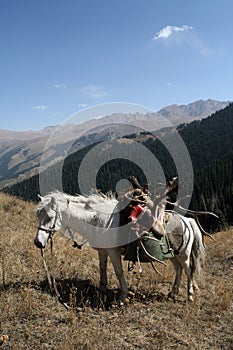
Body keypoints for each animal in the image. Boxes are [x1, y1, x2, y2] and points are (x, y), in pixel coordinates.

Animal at [33, 190, 205, 302]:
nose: (38, 242)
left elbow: (119, 272)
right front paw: (102, 288)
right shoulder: (103, 250)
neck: (98, 219)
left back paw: (189, 295)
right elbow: (102, 267)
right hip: (173, 254)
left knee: (188, 270)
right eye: (38, 215)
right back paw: (173, 293)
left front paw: (122, 296)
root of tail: (187, 220)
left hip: (183, 253)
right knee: (178, 269)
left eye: (50, 217)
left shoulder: (113, 251)